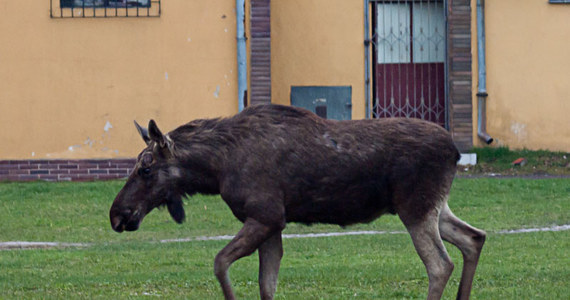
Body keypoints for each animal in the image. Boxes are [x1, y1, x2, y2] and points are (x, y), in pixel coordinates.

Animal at [110, 104, 484, 298]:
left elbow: (220, 263)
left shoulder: (266, 216)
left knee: (440, 264)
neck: (216, 170)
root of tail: (455, 152)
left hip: (415, 207)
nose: (117, 214)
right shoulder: (273, 224)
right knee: (473, 238)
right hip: (435, 207)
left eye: (145, 168)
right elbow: (266, 283)